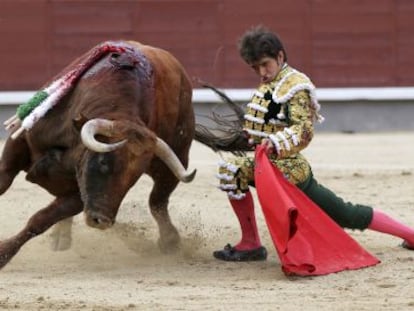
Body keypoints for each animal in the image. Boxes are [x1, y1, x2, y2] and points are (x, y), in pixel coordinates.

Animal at [0, 40, 196, 270]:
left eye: (134, 178)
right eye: (103, 162)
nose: (102, 221)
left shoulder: (78, 196)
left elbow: (40, 220)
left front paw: (3, 254)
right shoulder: (17, 144)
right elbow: (4, 182)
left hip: (177, 160)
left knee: (157, 201)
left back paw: (169, 241)